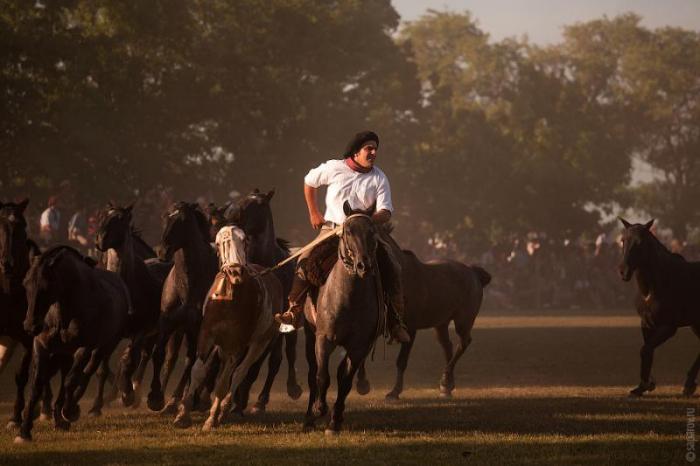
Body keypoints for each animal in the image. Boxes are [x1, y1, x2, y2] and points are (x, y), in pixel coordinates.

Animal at [16, 246, 131, 442]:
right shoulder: (42, 346)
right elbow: (37, 384)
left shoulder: (83, 348)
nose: (30, 325)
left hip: (106, 346)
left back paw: (72, 411)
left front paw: (69, 411)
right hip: (64, 354)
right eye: (25, 284)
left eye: (46, 286)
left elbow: (71, 380)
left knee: (89, 371)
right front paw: (24, 431)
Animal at [145, 203, 216, 412]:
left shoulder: (198, 327)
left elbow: (193, 361)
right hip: (180, 331)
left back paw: (192, 398)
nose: (162, 251)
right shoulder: (168, 322)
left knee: (202, 362)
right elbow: (159, 354)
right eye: (164, 217)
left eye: (183, 220)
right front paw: (155, 397)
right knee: (175, 358)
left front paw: (185, 399)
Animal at [616, 218, 700, 396]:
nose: (623, 271)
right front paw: (644, 385)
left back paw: (689, 385)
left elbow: (646, 349)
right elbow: (647, 350)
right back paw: (689, 384)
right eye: (623, 240)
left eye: (640, 242)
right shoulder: (647, 323)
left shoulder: (668, 327)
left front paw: (645, 384)